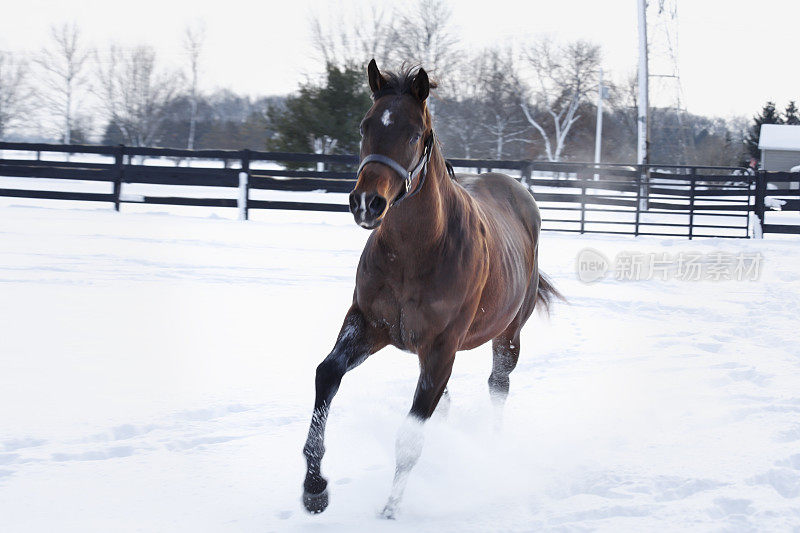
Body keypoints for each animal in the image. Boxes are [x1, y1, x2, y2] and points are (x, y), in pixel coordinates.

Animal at [304, 60, 560, 516]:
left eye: (412, 133)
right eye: (365, 125)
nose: (367, 203)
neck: (416, 253)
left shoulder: (441, 348)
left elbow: (410, 436)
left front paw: (389, 510)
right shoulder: (368, 325)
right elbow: (326, 375)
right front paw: (314, 487)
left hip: (508, 336)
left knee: (498, 386)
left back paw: (492, 450)